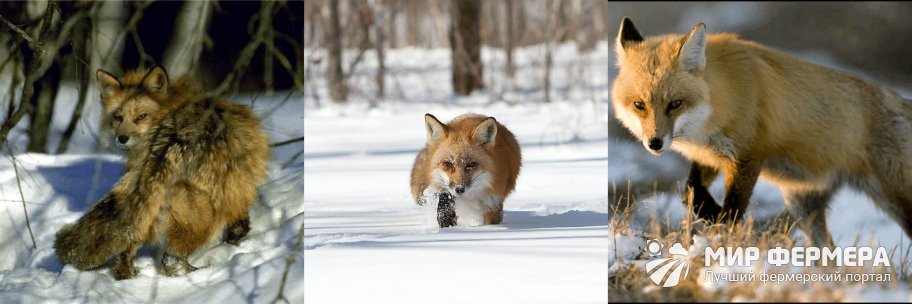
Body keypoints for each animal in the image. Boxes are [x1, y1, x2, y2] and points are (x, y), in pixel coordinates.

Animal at [53, 65, 268, 280]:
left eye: (141, 116)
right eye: (118, 117)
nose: (122, 138)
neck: (174, 103)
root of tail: (169, 146)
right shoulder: (238, 186)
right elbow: (239, 221)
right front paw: (236, 239)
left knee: (128, 248)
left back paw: (130, 275)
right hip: (206, 215)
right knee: (171, 260)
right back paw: (203, 272)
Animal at [608, 17, 912, 247]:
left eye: (674, 104)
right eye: (639, 105)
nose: (655, 143)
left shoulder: (748, 156)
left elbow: (732, 210)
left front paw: (721, 227)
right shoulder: (711, 155)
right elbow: (691, 191)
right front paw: (709, 212)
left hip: (897, 201)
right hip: (803, 205)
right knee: (829, 251)